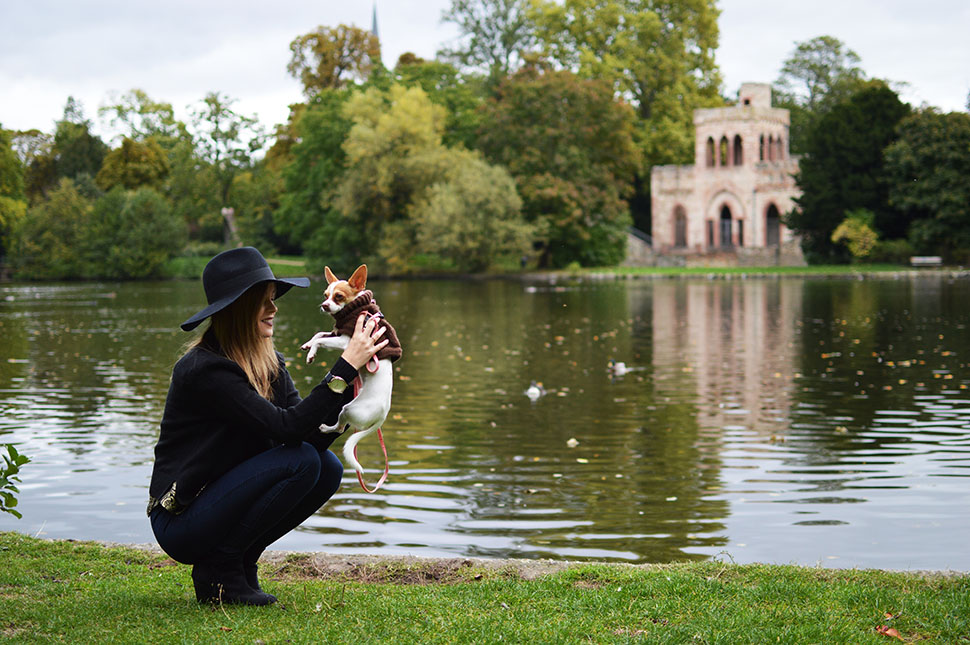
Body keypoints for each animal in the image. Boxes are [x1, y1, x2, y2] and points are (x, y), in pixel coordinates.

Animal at [298, 262, 398, 488]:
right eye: (325, 295)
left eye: (338, 297)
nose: (324, 305)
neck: (356, 309)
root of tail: (383, 416)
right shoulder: (337, 333)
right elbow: (319, 334)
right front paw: (309, 346)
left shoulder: (346, 341)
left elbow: (321, 339)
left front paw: (311, 350)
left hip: (348, 410)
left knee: (339, 427)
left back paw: (326, 427)